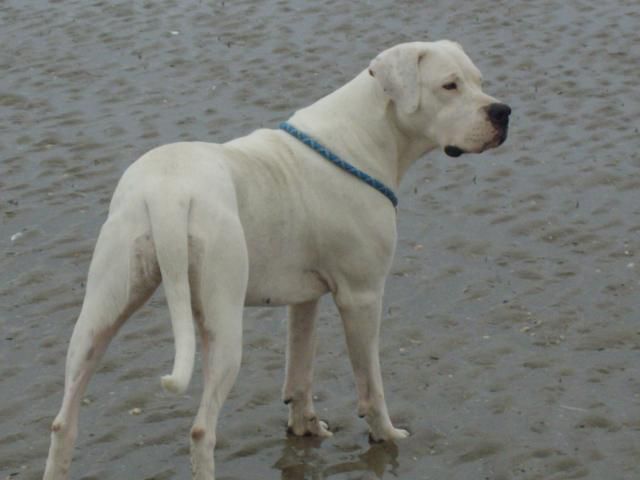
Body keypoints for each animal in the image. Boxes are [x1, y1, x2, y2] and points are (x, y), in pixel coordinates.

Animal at [43, 40, 510, 479]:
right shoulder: (362, 297)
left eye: (479, 80)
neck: (363, 137)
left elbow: (300, 371)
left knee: (63, 422)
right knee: (201, 430)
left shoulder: (305, 300)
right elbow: (371, 384)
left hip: (99, 317)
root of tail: (166, 193)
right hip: (223, 325)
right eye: (449, 86)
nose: (503, 111)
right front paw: (387, 434)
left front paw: (305, 427)